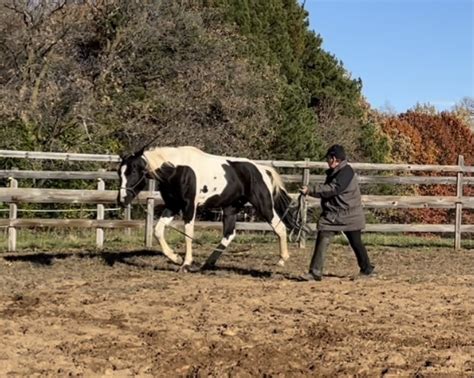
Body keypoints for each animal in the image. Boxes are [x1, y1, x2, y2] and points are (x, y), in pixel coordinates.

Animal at [117, 145, 298, 272]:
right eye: (120, 173)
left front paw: (185, 264)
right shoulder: (173, 205)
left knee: (280, 227)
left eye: (133, 171)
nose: (122, 200)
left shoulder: (189, 206)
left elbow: (188, 233)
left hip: (263, 204)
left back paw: (282, 259)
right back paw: (207, 264)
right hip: (230, 208)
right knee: (229, 234)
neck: (177, 169)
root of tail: (262, 170)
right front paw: (176, 258)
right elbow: (158, 230)